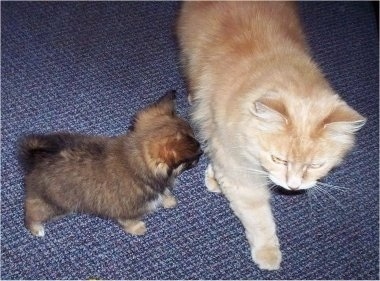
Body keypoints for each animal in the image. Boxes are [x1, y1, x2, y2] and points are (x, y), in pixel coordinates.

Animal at [20, 91, 202, 236]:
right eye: (195, 155)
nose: (202, 154)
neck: (137, 164)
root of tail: (36, 158)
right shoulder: (124, 209)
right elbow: (128, 220)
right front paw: (137, 228)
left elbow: (163, 192)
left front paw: (168, 199)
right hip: (54, 204)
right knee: (31, 211)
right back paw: (36, 228)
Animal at [177, 1, 366, 270]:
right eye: (279, 160)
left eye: (316, 165)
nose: (294, 186)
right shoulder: (240, 172)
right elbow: (258, 218)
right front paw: (268, 253)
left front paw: (213, 176)